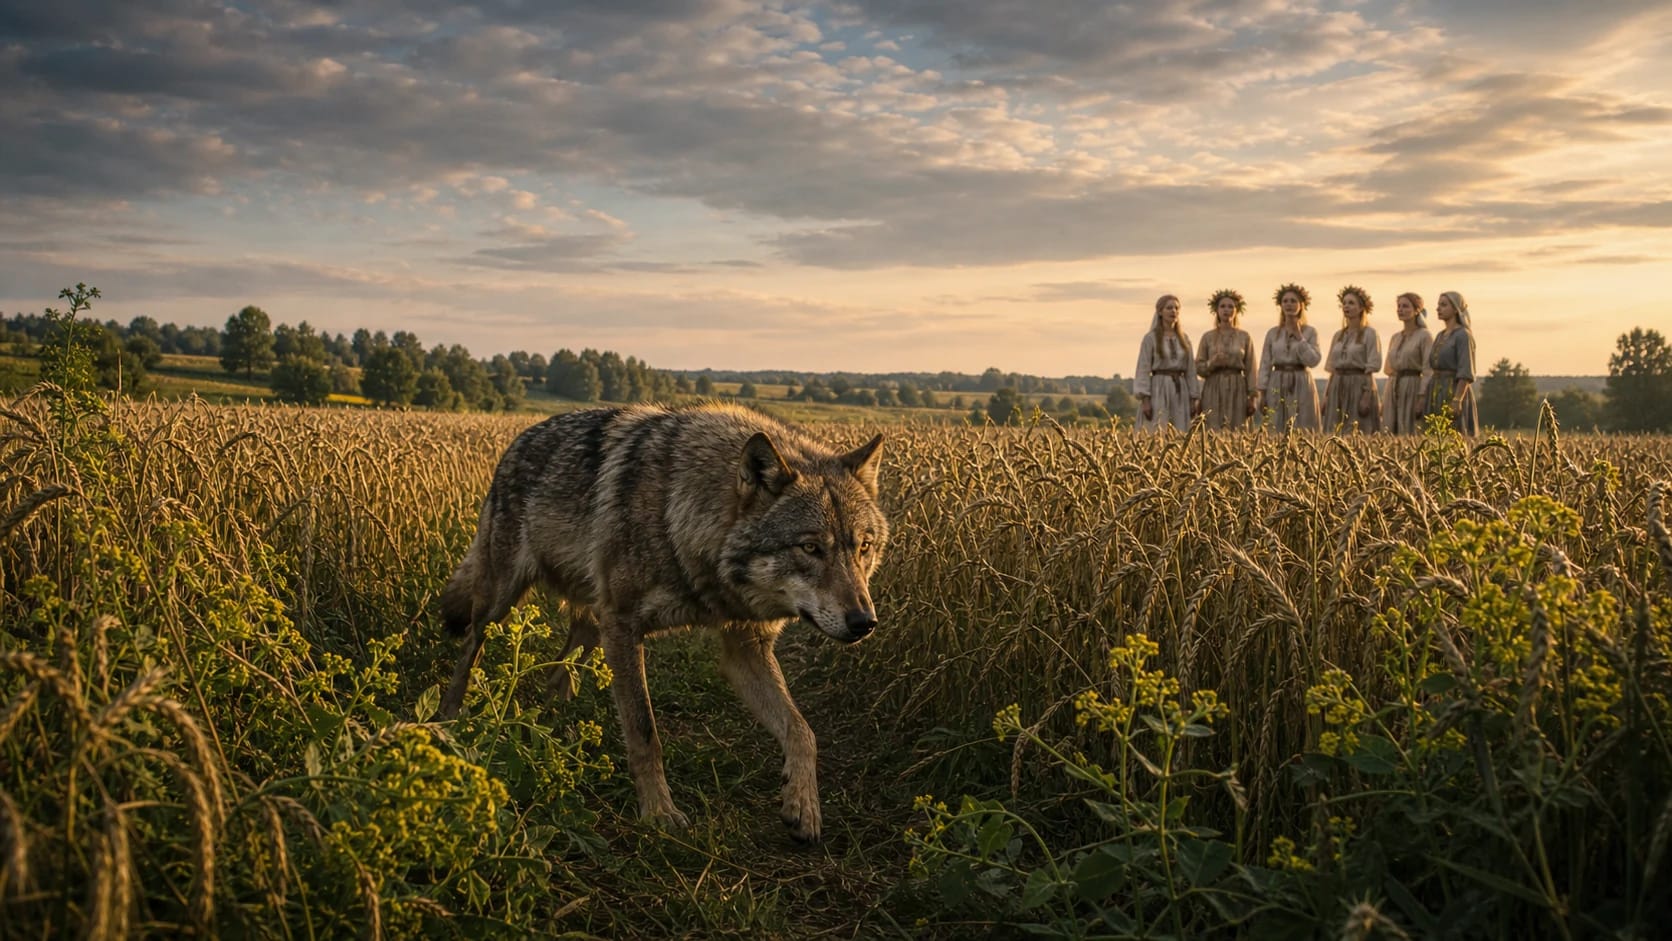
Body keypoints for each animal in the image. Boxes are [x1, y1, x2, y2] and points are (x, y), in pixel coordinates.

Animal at [437, 402, 887, 842]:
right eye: (810, 548)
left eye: (863, 547)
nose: (864, 622)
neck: (681, 519)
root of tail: (522, 436)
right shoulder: (623, 626)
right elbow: (644, 731)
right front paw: (658, 812)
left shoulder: (744, 649)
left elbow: (802, 731)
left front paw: (803, 806)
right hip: (501, 601)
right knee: (469, 649)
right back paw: (448, 720)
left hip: (591, 622)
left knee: (560, 665)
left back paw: (558, 721)